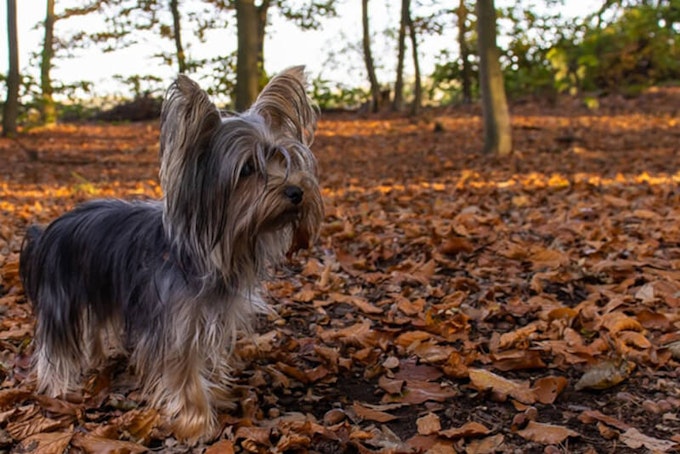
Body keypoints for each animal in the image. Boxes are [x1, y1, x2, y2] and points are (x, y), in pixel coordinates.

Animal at [18, 65, 322, 442]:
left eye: (283, 159)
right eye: (248, 169)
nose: (296, 192)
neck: (213, 250)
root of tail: (47, 232)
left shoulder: (212, 317)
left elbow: (209, 360)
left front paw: (218, 394)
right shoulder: (177, 325)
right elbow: (184, 373)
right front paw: (197, 423)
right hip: (62, 299)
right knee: (55, 347)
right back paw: (58, 388)